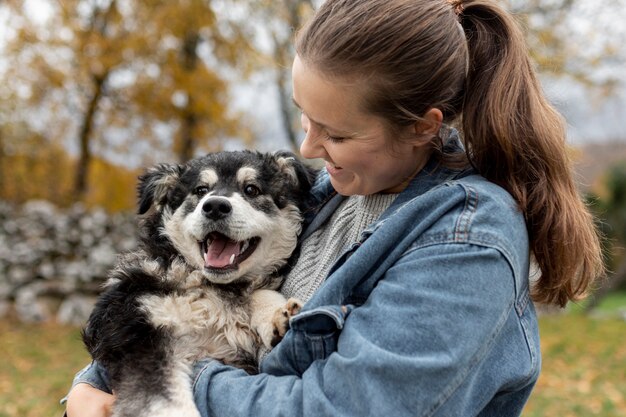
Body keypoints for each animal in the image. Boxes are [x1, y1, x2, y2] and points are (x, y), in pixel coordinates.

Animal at [83, 151, 314, 416]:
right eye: (201, 190)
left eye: (251, 189)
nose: (215, 206)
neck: (211, 287)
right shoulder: (136, 330)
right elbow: (163, 398)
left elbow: (257, 292)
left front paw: (276, 312)